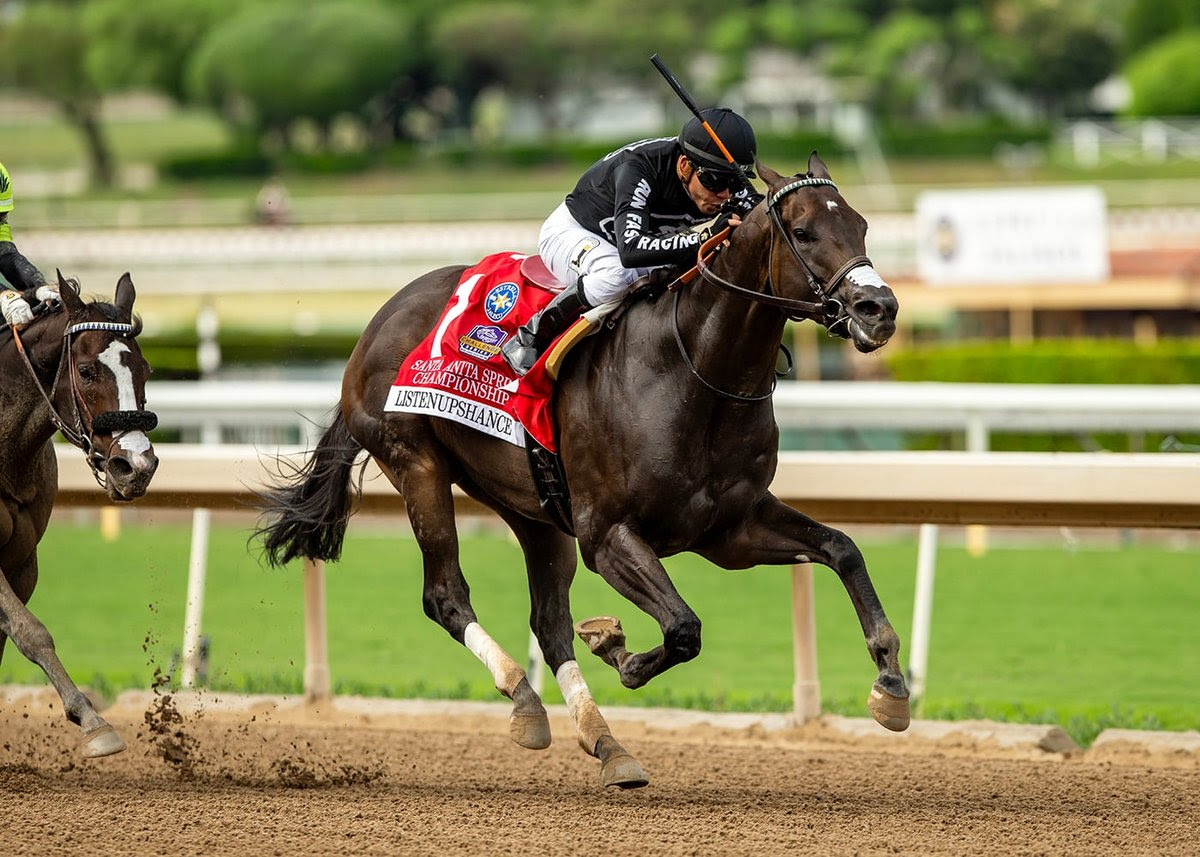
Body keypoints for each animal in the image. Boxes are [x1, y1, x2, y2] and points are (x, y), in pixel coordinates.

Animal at [0, 272, 159, 758]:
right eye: (86, 371)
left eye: (145, 370)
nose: (136, 466)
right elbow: (31, 631)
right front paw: (93, 721)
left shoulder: (22, 561)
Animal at [257, 153, 908, 788]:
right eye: (803, 231)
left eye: (862, 226)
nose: (880, 309)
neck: (692, 369)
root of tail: (376, 322)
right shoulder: (607, 534)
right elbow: (682, 627)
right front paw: (621, 651)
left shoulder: (730, 528)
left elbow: (842, 548)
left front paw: (891, 685)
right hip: (416, 463)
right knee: (445, 595)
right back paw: (524, 697)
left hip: (534, 509)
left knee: (549, 622)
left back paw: (606, 743)